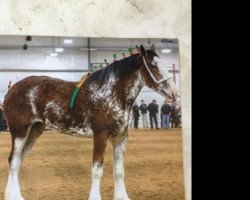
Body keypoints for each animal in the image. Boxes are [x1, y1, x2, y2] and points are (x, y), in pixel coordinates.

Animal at [2, 45, 178, 200]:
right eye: (154, 66)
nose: (174, 94)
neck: (110, 94)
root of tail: (11, 90)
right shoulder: (100, 136)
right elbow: (97, 170)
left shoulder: (121, 137)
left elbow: (119, 171)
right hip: (20, 131)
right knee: (13, 161)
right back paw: (16, 196)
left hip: (34, 131)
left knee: (18, 161)